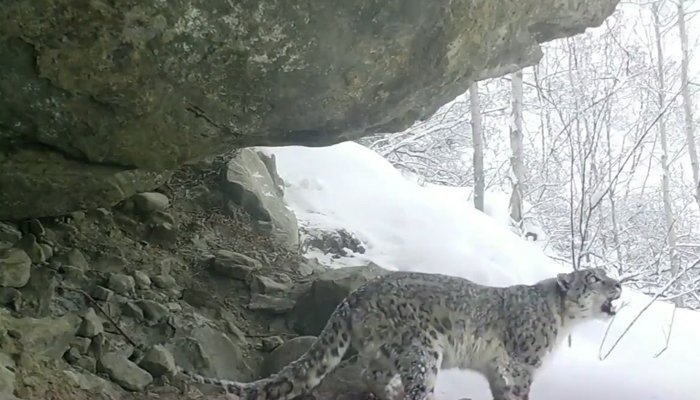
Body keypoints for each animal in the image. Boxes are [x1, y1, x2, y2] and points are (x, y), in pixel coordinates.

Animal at [179, 267, 622, 400]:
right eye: (594, 277)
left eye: (606, 274)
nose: (619, 285)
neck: (564, 323)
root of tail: (357, 293)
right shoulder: (521, 366)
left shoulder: (501, 371)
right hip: (423, 350)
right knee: (408, 385)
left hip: (388, 350)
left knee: (369, 373)